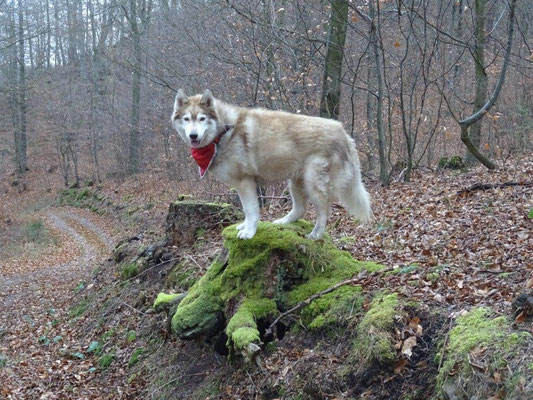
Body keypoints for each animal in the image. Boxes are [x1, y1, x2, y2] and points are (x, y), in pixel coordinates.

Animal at [170, 89, 370, 239]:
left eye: (202, 118)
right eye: (187, 119)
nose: (193, 135)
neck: (223, 132)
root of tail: (343, 132)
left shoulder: (245, 183)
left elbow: (251, 210)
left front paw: (249, 232)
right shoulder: (244, 186)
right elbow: (247, 210)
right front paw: (245, 226)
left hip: (313, 184)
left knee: (324, 212)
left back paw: (315, 235)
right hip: (295, 182)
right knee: (300, 209)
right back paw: (283, 222)